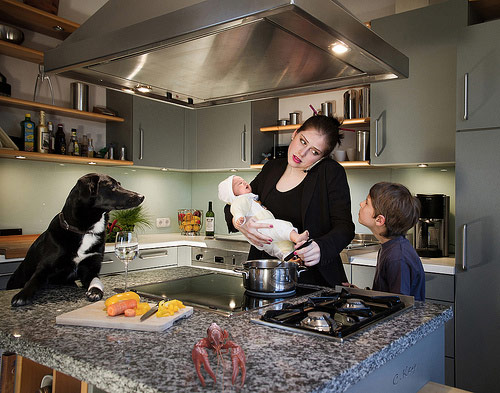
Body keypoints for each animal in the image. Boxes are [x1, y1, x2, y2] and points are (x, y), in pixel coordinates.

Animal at [7, 173, 145, 304]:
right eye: (112, 186)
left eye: (119, 184)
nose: (142, 196)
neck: (86, 232)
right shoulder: (44, 267)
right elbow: (34, 280)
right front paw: (22, 295)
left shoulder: (90, 269)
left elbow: (96, 281)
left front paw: (95, 291)